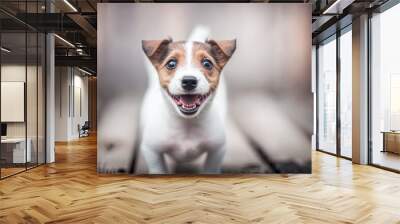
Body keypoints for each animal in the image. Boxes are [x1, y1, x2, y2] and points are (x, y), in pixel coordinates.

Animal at [140, 26, 236, 173]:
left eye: (207, 63)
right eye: (171, 63)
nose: (189, 81)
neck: (187, 124)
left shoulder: (217, 149)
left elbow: (210, 169)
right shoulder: (152, 150)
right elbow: (158, 169)